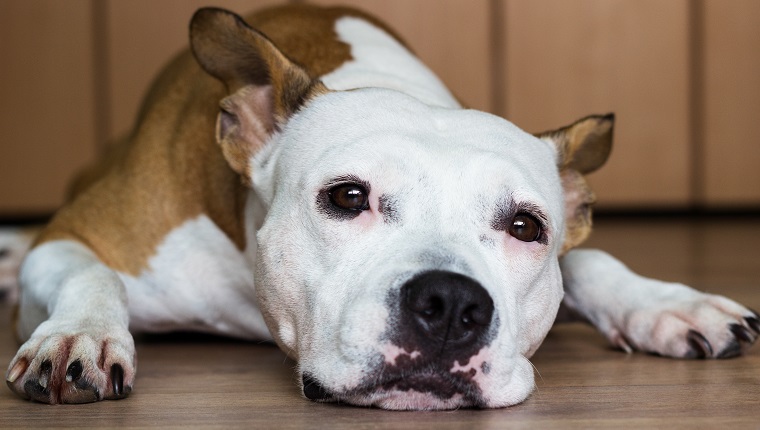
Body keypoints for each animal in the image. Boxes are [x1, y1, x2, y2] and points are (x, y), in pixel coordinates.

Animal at [2, 4, 756, 410]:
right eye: (348, 197)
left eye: (525, 226)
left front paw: (670, 304)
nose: (452, 303)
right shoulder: (83, 235)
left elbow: (592, 259)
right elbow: (87, 270)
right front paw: (80, 336)